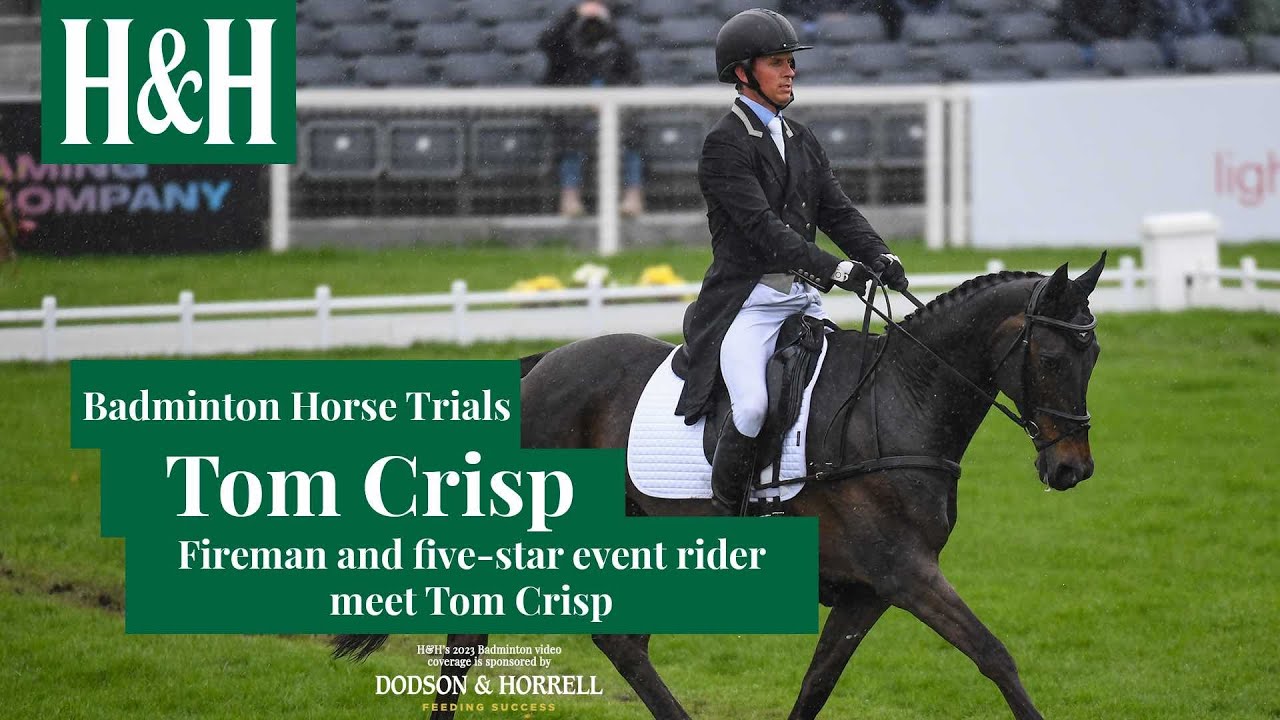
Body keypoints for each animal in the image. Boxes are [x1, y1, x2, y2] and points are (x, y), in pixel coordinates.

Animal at [334, 256, 1106, 720]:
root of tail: (542, 366)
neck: (898, 403)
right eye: (1053, 356)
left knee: (621, 642)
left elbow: (817, 684)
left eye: (1093, 354)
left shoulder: (867, 591)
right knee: (475, 638)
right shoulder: (905, 573)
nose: (1072, 470)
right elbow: (995, 655)